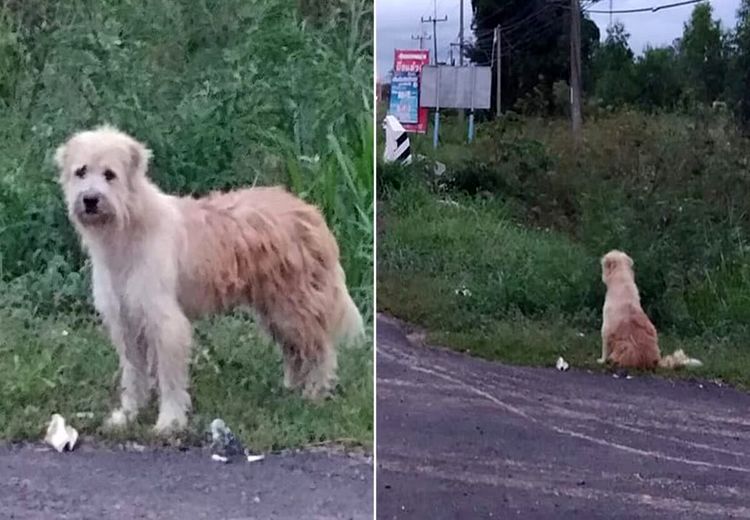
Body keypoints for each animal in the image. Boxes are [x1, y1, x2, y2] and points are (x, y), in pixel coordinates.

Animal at [54, 127, 366, 434]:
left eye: (110, 174)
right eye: (81, 171)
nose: (90, 200)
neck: (128, 226)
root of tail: (310, 212)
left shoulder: (165, 321)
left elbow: (170, 378)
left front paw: (170, 421)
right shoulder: (125, 321)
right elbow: (133, 374)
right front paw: (128, 415)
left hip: (294, 305)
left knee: (320, 349)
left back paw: (316, 393)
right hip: (275, 308)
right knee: (295, 350)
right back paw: (292, 388)